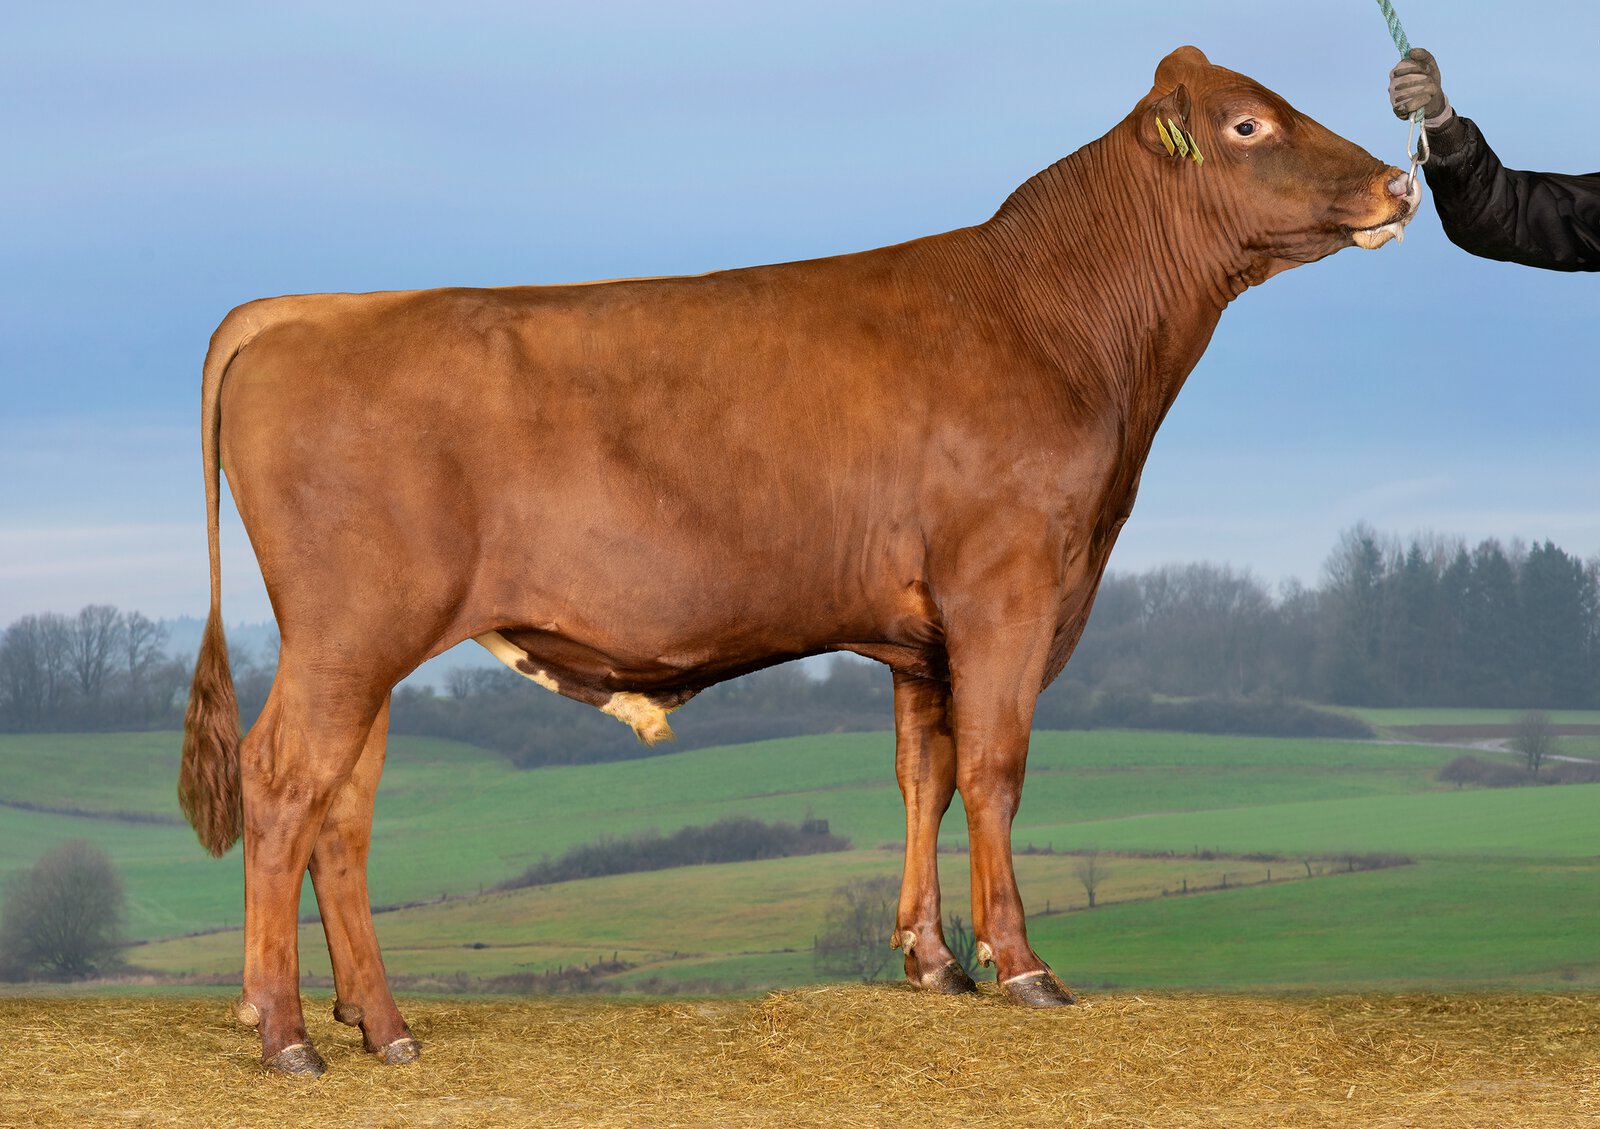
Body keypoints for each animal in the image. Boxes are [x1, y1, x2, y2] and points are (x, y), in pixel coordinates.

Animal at [180, 46, 1417, 1075]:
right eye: (1250, 124)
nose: (1399, 184)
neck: (1066, 329)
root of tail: (306, 308)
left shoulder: (921, 633)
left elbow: (926, 772)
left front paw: (931, 959)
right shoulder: (1007, 587)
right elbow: (997, 767)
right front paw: (1021, 966)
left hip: (369, 644)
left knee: (343, 812)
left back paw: (382, 1026)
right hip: (352, 632)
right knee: (283, 783)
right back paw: (285, 1032)